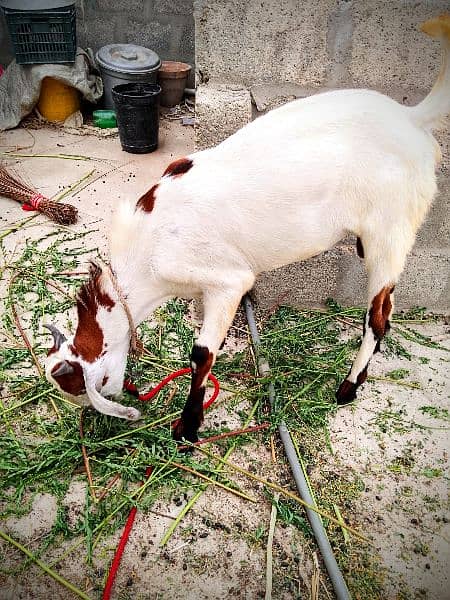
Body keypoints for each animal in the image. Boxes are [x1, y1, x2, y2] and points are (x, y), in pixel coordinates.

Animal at [45, 16, 450, 442]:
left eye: (91, 388)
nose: (98, 422)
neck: (148, 245)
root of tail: (412, 118)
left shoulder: (225, 280)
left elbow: (202, 354)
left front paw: (187, 428)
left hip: (390, 232)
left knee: (378, 317)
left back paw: (348, 388)